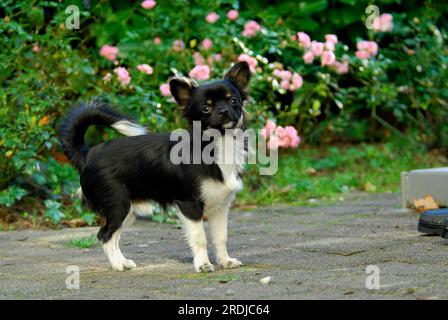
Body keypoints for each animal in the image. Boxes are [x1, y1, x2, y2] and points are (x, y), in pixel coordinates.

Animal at [59, 60, 250, 272]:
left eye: (233, 101)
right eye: (206, 108)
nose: (224, 111)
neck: (218, 143)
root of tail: (88, 153)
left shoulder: (220, 207)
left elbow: (221, 237)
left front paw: (225, 261)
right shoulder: (189, 205)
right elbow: (200, 238)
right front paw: (203, 264)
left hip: (127, 210)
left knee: (112, 236)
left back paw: (123, 262)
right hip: (118, 205)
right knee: (104, 235)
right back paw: (117, 265)